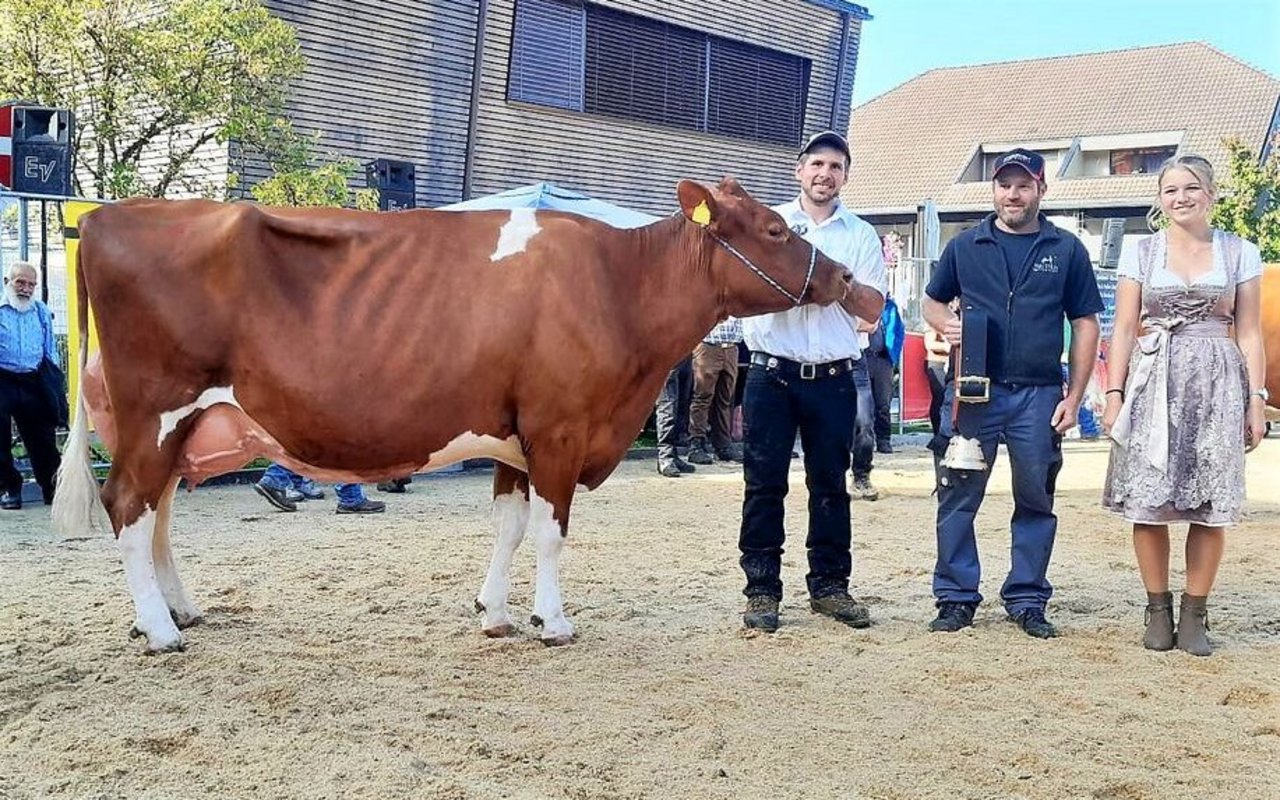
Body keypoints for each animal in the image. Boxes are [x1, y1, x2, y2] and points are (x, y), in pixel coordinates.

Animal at [55, 179, 885, 650]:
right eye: (777, 231)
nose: (853, 283)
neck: (619, 282)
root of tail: (102, 218)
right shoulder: (559, 427)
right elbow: (550, 535)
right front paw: (553, 622)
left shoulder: (516, 439)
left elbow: (510, 527)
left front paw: (493, 613)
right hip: (156, 408)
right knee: (127, 506)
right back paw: (161, 631)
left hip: (181, 425)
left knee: (157, 514)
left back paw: (180, 611)